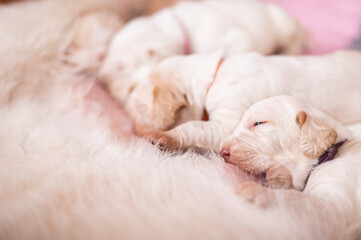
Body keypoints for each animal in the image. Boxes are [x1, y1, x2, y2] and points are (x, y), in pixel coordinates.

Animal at [100, 0, 306, 131]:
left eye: (121, 66)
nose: (101, 78)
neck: (177, 28)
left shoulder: (235, 37)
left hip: (283, 25)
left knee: (294, 38)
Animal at [218, 94, 360, 237]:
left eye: (259, 123)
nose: (222, 152)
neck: (327, 155)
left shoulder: (338, 208)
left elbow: (296, 198)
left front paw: (256, 190)